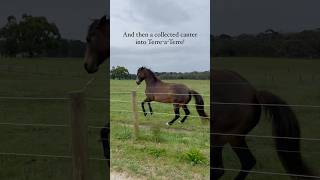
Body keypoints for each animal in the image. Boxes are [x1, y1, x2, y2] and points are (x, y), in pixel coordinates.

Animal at [84, 15, 316, 180]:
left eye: (140, 73)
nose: (136, 82)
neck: (153, 84)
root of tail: (253, 94)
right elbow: (143, 105)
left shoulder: (151, 99)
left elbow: (143, 104)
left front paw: (149, 115)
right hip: (232, 135)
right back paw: (178, 123)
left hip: (213, 130)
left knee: (188, 125)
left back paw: (171, 123)